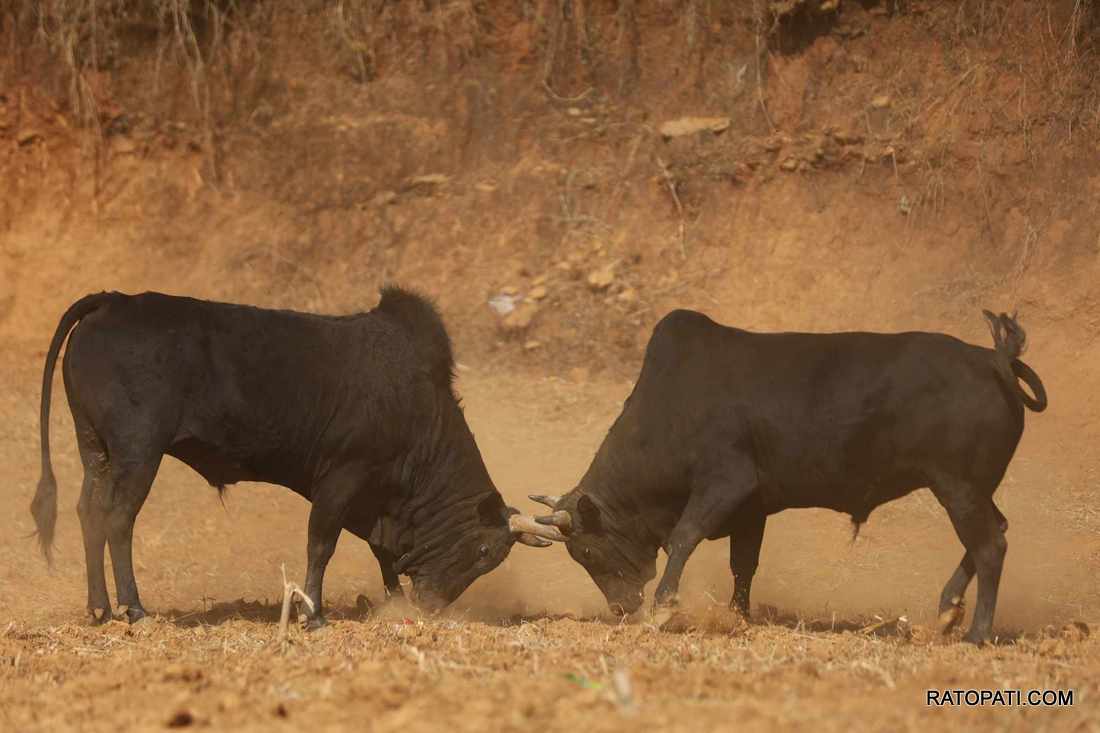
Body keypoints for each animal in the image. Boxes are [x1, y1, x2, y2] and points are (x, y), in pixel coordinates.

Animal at [32, 286, 558, 620]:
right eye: (485, 551)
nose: (431, 606)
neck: (416, 404)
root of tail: (114, 300)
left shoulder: (374, 500)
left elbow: (383, 553)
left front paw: (390, 602)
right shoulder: (343, 478)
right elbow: (321, 544)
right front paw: (314, 613)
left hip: (95, 451)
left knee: (89, 514)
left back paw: (99, 608)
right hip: (138, 453)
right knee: (118, 519)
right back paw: (134, 608)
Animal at [532, 305, 1047, 638]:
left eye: (588, 552)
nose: (622, 609)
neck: (670, 408)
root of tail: (993, 359)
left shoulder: (725, 484)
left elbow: (683, 538)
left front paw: (663, 609)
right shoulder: (750, 508)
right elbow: (743, 564)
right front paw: (738, 617)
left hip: (958, 488)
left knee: (990, 546)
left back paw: (976, 632)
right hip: (972, 490)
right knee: (993, 534)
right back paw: (946, 612)